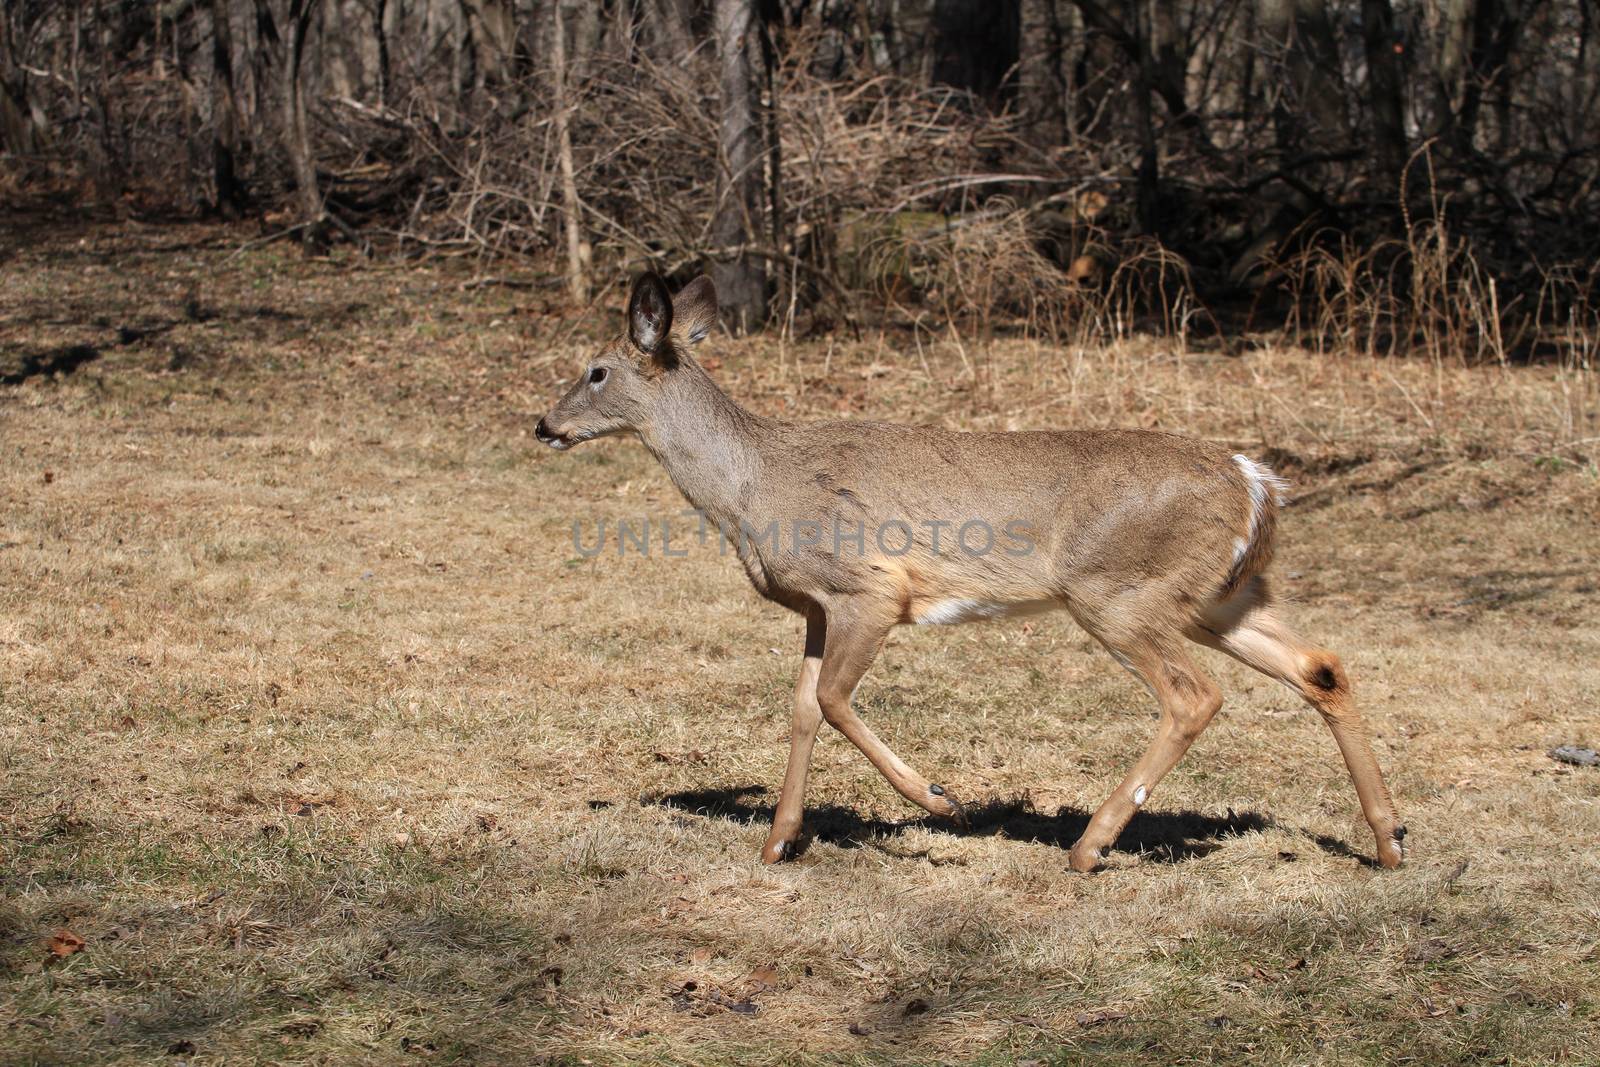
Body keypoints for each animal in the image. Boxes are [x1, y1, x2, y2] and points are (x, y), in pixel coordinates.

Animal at [534, 275, 1401, 876]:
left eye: (597, 369)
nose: (543, 423)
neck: (754, 486)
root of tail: (1256, 481)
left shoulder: (870, 587)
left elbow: (834, 699)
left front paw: (938, 800)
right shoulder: (816, 605)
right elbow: (804, 708)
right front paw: (779, 840)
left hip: (1116, 591)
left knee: (1195, 695)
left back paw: (1087, 846)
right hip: (1219, 597)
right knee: (1322, 667)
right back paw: (1390, 837)